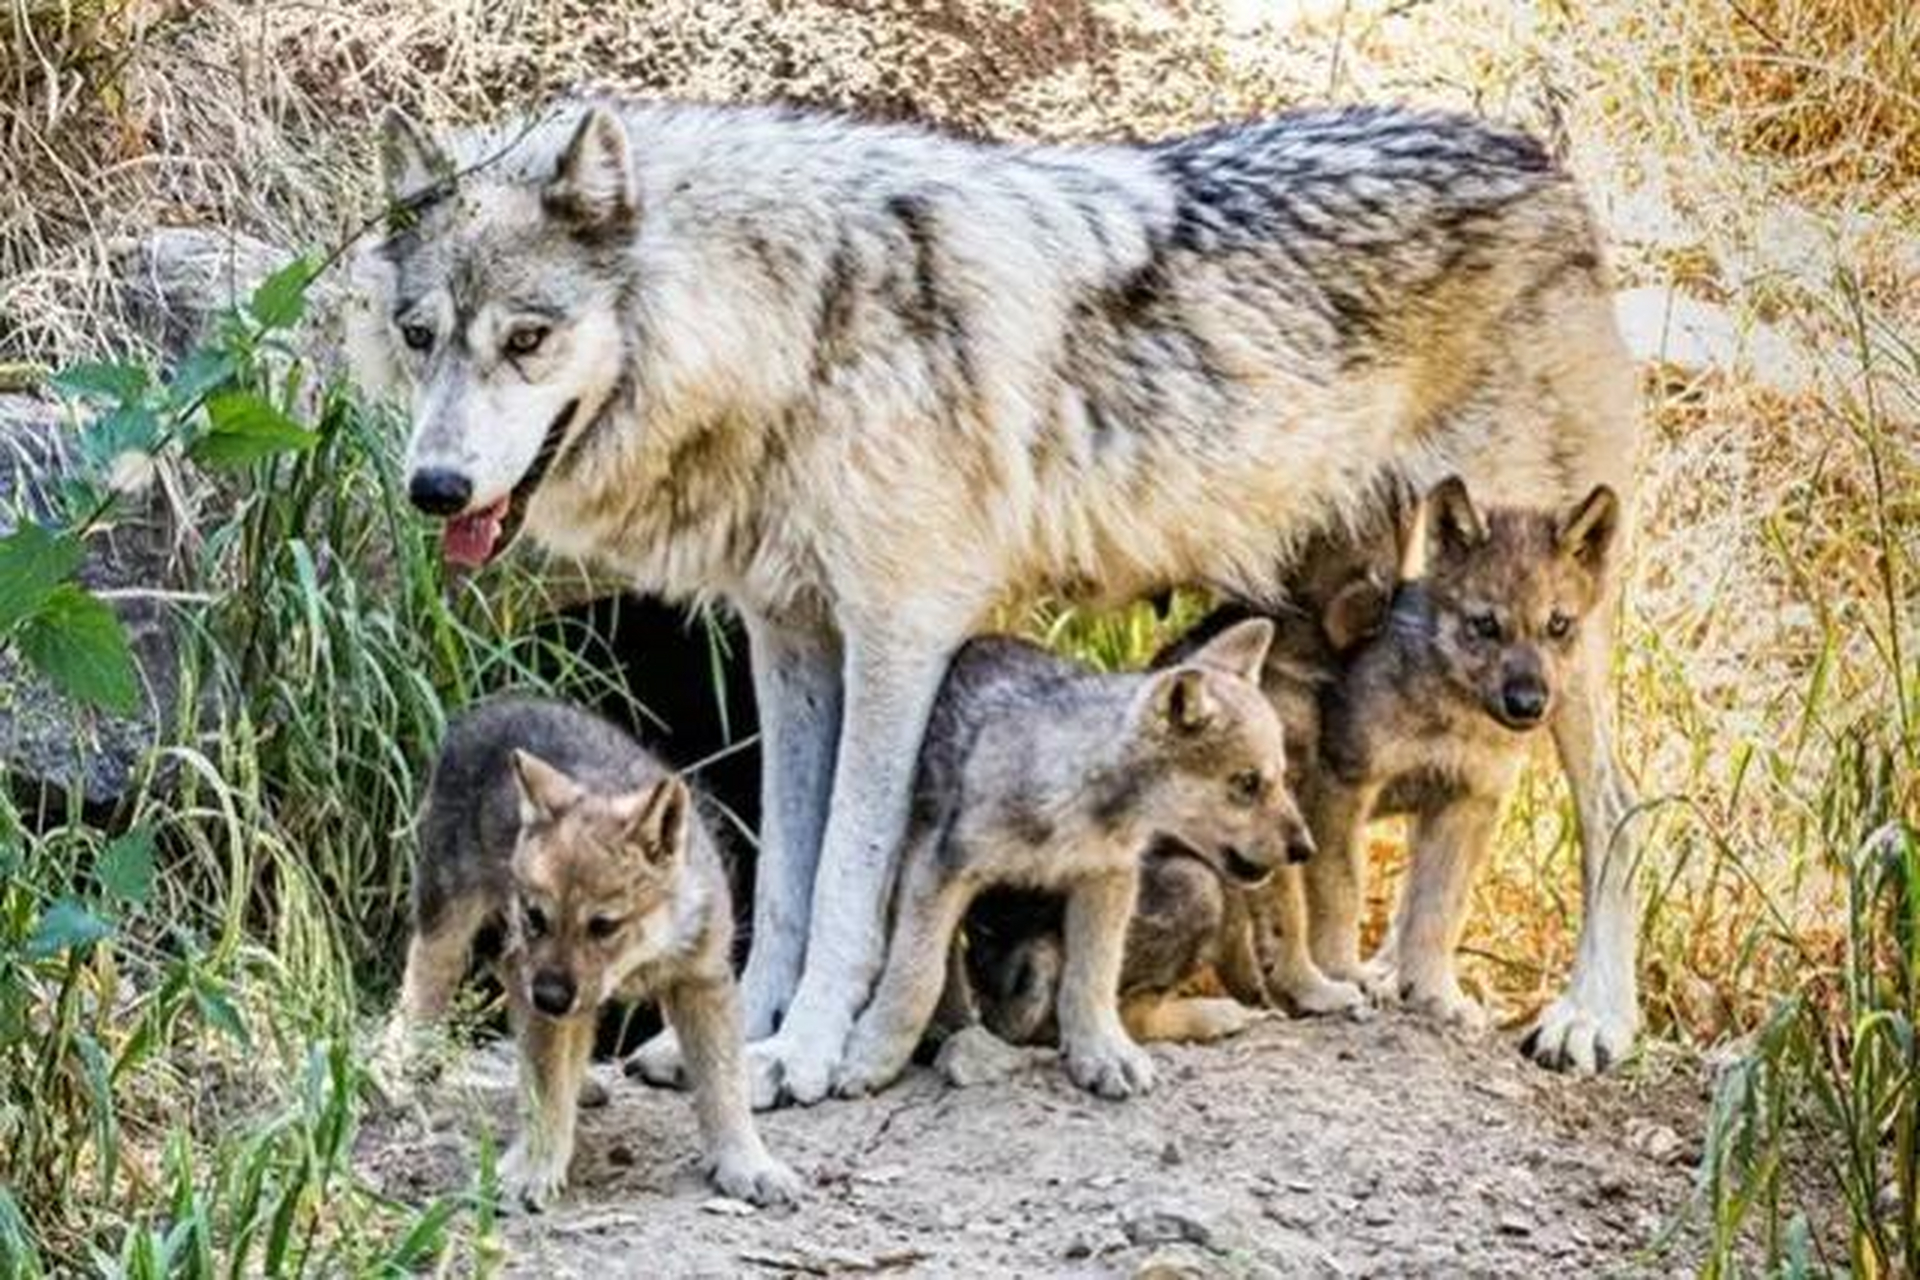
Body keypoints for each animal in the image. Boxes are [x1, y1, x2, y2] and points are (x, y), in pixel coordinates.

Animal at [382, 702, 802, 1212]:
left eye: (603, 925)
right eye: (536, 916)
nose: (548, 997)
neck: (642, 956)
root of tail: (483, 712)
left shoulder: (702, 982)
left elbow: (726, 1084)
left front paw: (747, 1165)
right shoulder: (541, 980)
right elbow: (545, 1087)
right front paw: (534, 1168)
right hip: (449, 924)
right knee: (421, 993)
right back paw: (399, 1078)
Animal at [833, 614, 1297, 1097]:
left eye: (1282, 779)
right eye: (1247, 784)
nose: (1305, 848)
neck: (1078, 803)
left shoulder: (1107, 879)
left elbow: (1092, 977)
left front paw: (1104, 1053)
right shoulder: (938, 872)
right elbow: (916, 976)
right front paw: (872, 1056)